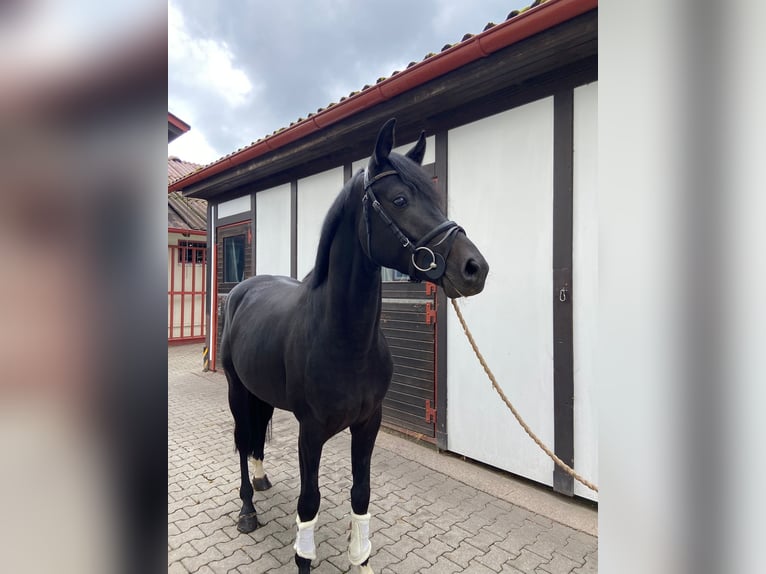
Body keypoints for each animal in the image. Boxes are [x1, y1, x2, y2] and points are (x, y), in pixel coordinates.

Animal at [219, 119, 488, 572]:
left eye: (437, 199)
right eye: (400, 200)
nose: (475, 268)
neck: (344, 341)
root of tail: (246, 287)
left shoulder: (368, 423)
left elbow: (361, 493)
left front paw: (361, 559)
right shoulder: (310, 432)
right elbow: (309, 502)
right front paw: (304, 558)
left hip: (262, 392)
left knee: (254, 438)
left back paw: (261, 476)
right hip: (237, 391)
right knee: (241, 441)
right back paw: (247, 510)